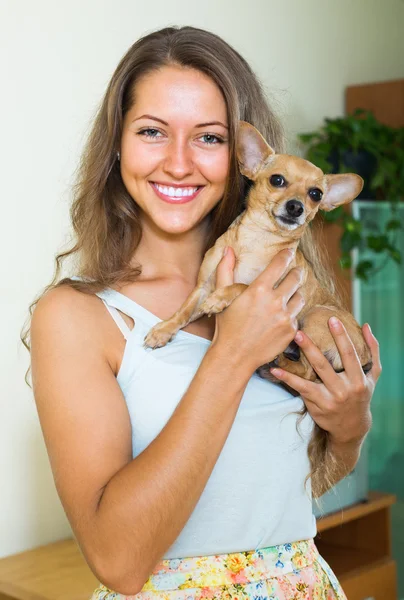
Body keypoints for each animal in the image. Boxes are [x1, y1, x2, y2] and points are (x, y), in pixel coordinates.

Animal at [144, 122, 372, 384]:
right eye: (277, 180)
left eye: (316, 194)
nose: (296, 207)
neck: (257, 239)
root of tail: (365, 356)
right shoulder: (203, 287)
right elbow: (184, 310)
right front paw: (164, 329)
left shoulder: (271, 294)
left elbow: (242, 286)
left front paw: (219, 299)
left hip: (316, 317)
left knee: (308, 370)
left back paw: (276, 364)